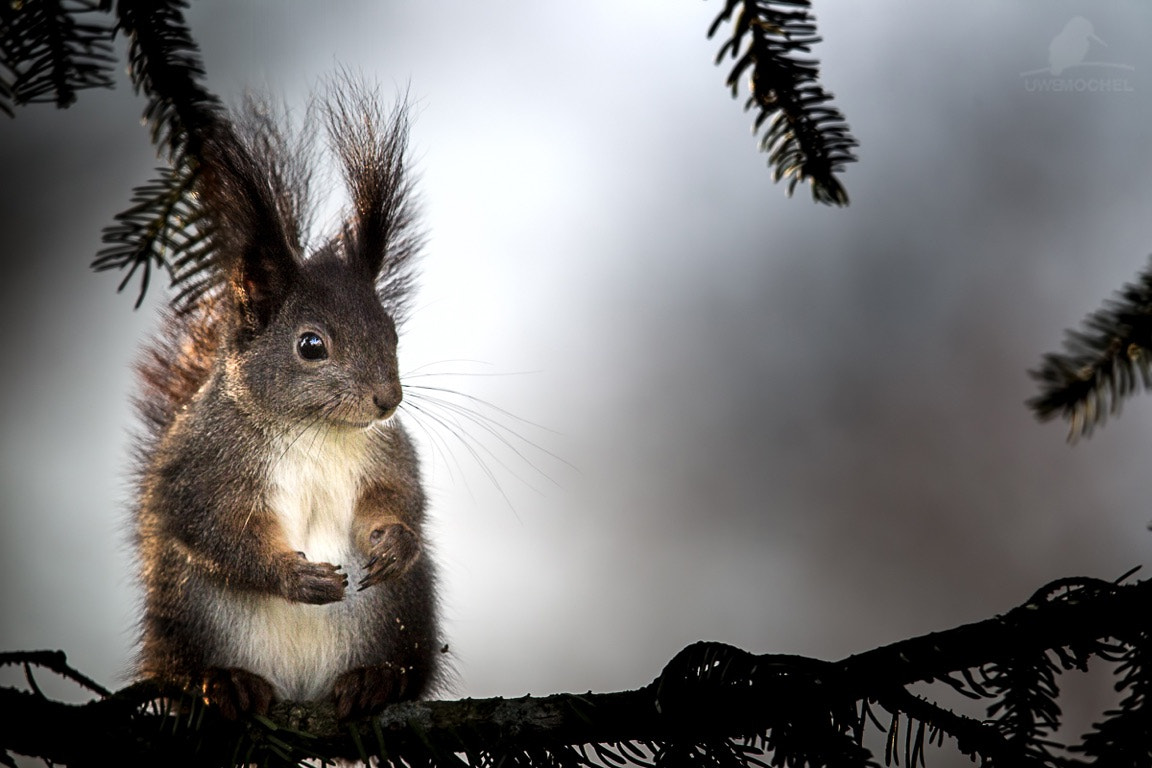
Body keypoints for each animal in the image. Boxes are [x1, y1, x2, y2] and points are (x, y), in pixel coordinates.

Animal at [130, 84, 440, 723]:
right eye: (311, 345)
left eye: (393, 333)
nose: (388, 399)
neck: (315, 429)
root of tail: (301, 689)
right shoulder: (205, 466)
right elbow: (215, 528)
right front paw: (293, 577)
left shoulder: (389, 452)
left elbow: (400, 497)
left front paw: (395, 540)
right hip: (187, 610)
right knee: (184, 667)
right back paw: (225, 682)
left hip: (400, 612)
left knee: (407, 668)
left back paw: (374, 681)